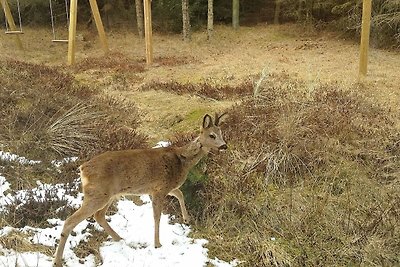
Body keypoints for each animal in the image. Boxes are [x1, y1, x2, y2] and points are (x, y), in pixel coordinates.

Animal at [54, 113, 228, 267]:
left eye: (221, 133)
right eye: (212, 135)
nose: (224, 146)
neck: (181, 160)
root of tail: (82, 168)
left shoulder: (162, 188)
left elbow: (180, 194)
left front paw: (187, 219)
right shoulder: (160, 188)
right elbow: (157, 216)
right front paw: (157, 244)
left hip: (109, 195)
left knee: (99, 215)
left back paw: (120, 239)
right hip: (97, 194)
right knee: (70, 221)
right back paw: (57, 262)